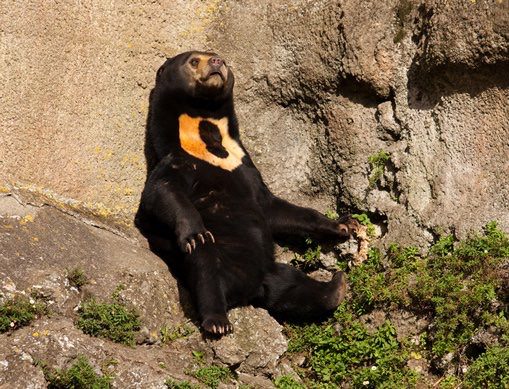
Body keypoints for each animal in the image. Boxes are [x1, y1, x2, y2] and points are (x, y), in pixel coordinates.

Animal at [134, 50, 358, 334]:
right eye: (194, 60)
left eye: (220, 58)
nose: (217, 62)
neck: (204, 128)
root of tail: (247, 291)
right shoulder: (180, 161)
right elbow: (160, 191)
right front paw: (195, 232)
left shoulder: (246, 166)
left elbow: (275, 209)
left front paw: (344, 224)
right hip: (219, 260)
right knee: (206, 270)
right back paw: (217, 322)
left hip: (271, 269)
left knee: (293, 284)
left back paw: (337, 286)